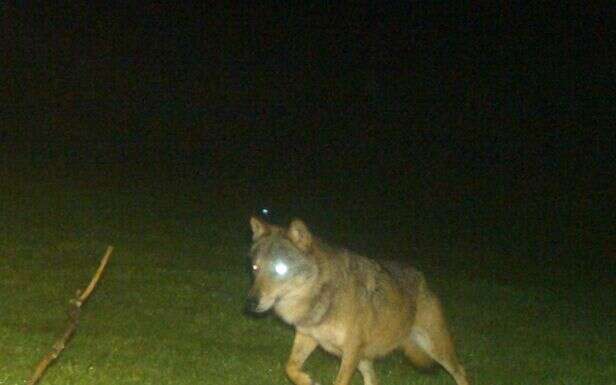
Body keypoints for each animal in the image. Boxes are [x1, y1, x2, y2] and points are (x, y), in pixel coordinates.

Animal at [244, 216, 466, 384]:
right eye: (255, 268)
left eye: (280, 268)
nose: (251, 303)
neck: (322, 296)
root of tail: (423, 280)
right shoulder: (308, 336)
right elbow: (289, 367)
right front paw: (308, 380)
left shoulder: (351, 351)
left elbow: (338, 382)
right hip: (365, 360)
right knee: (373, 380)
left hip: (436, 349)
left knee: (461, 370)